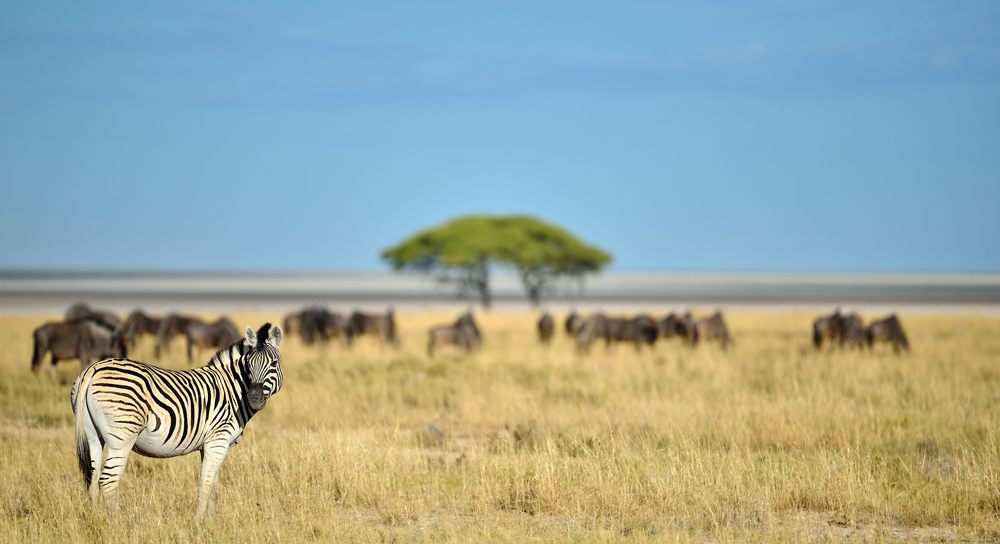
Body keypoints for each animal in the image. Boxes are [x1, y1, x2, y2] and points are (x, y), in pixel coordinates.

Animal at [72, 324, 284, 520]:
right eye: (249, 365)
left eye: (274, 363)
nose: (254, 399)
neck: (232, 390)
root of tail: (93, 369)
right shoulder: (218, 441)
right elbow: (205, 486)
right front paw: (199, 525)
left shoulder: (208, 445)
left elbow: (214, 490)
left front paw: (212, 523)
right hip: (121, 437)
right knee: (109, 481)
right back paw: (117, 525)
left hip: (93, 436)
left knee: (92, 481)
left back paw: (96, 522)